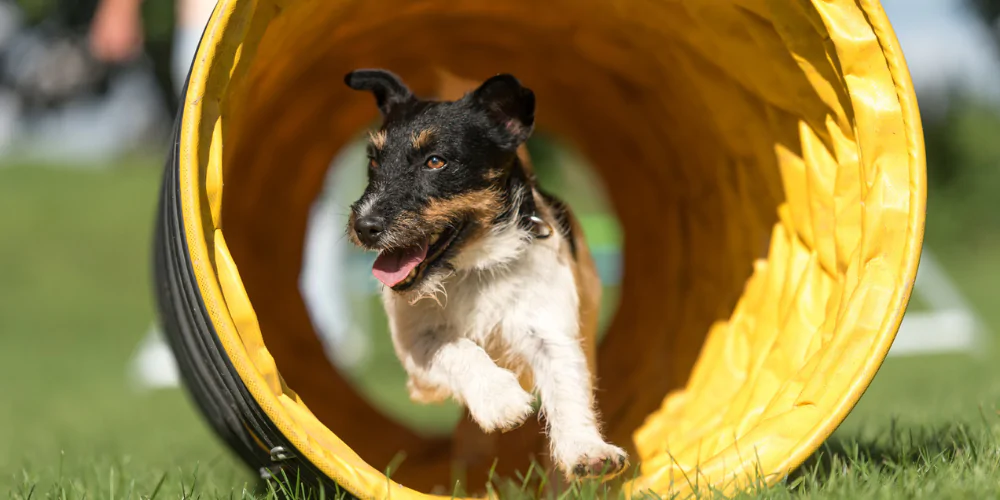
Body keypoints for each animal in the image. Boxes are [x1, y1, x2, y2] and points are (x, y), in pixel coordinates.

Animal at [344, 67, 624, 480]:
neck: (474, 267)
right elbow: (457, 347)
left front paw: (587, 449)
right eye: (374, 162)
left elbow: (566, 385)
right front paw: (501, 400)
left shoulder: (549, 328)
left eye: (435, 161)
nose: (364, 226)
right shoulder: (417, 346)